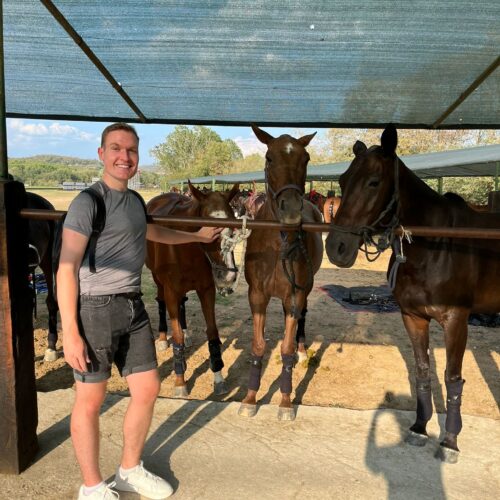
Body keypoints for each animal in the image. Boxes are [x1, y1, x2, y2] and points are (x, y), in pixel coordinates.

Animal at [146, 182, 239, 396]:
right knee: (161, 302)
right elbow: (176, 336)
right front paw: (180, 381)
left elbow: (212, 332)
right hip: (158, 280)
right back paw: (162, 338)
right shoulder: (171, 291)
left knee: (182, 304)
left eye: (233, 228)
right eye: (211, 232)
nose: (229, 277)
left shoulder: (206, 290)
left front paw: (218, 377)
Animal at [239, 123, 324, 420]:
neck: (278, 246)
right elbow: (258, 346)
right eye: (269, 158)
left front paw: (286, 401)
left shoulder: (294, 296)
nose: (291, 211)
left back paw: (302, 348)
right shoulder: (257, 296)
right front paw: (250, 398)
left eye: (306, 159)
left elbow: (285, 349)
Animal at [324, 125, 500, 460]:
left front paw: (450, 441)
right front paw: (420, 428)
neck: (435, 247)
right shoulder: (413, 317)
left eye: (374, 182)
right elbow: (421, 371)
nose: (337, 248)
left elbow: (452, 378)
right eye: (341, 180)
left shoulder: (456, 321)